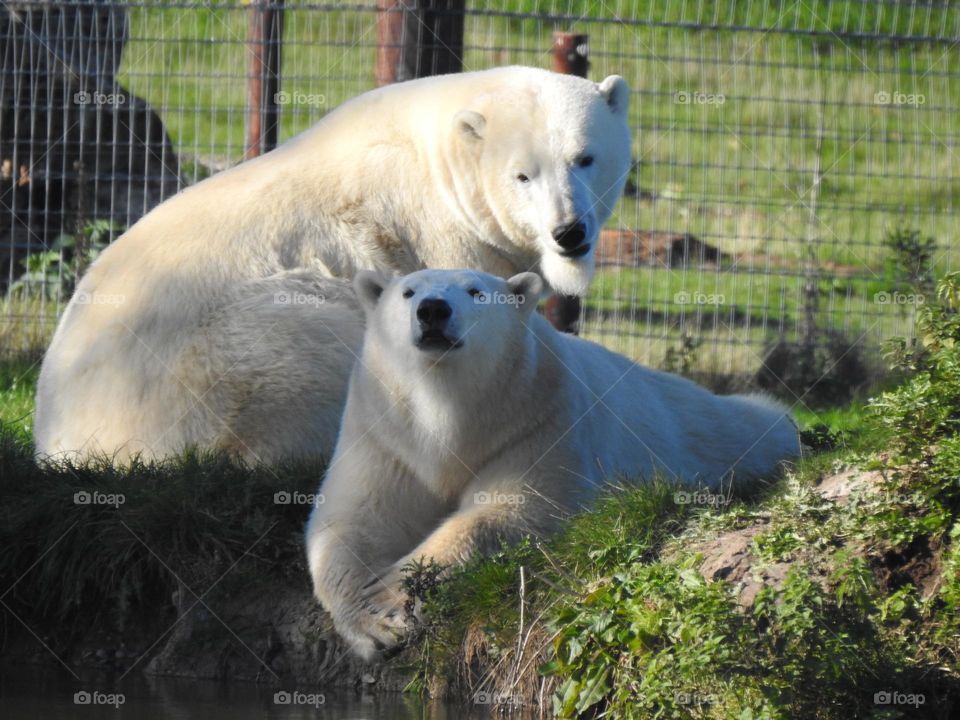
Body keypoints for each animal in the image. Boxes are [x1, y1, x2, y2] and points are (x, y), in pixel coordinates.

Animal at [34, 66, 632, 465]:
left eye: (585, 158)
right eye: (522, 175)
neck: (440, 155)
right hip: (238, 360)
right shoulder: (436, 230)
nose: (569, 232)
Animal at [305, 268, 802, 659]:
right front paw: (377, 620)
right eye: (408, 292)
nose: (432, 311)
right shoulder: (386, 435)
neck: (448, 410)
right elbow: (355, 522)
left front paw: (390, 592)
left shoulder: (535, 417)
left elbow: (514, 510)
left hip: (709, 429)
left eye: (475, 291)